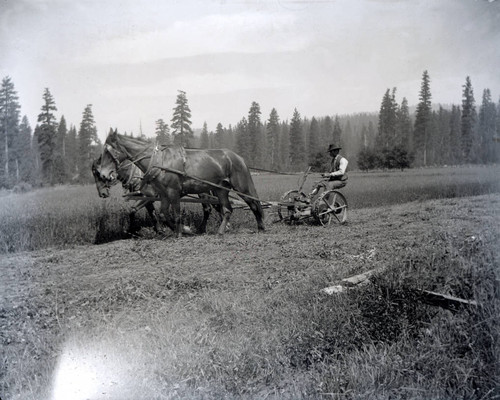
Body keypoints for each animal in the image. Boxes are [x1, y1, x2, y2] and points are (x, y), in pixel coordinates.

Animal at [95, 130, 264, 236]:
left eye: (108, 152)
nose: (104, 175)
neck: (158, 162)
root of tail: (238, 157)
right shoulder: (162, 194)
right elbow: (161, 214)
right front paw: (179, 230)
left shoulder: (172, 192)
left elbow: (175, 214)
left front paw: (180, 232)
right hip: (220, 189)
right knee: (226, 209)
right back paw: (221, 230)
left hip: (240, 186)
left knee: (253, 203)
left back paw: (261, 227)